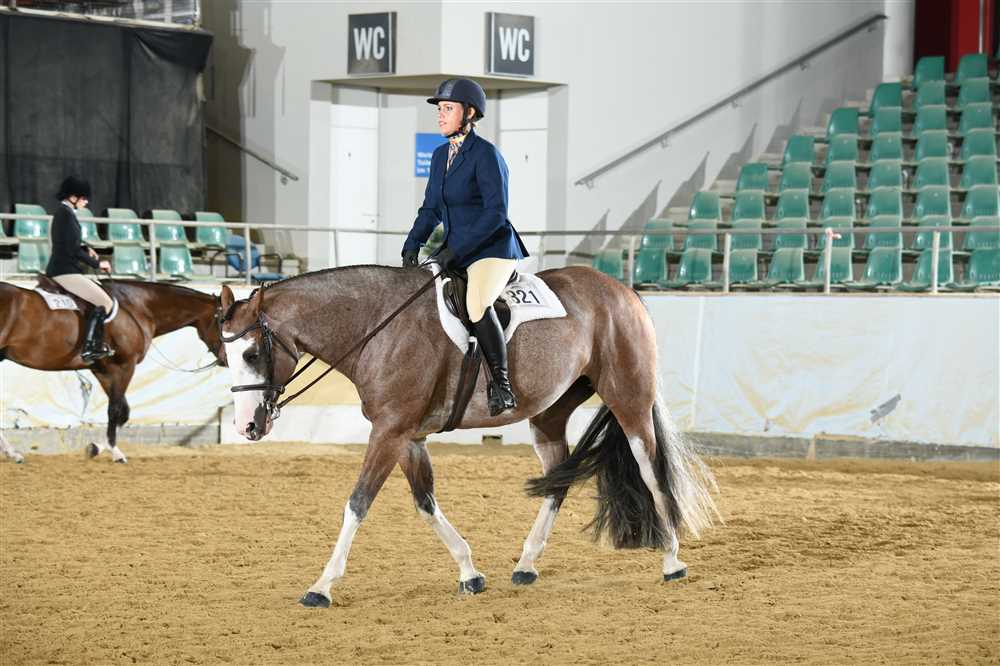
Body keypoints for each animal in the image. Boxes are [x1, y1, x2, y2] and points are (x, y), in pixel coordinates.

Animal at [0, 279, 225, 463]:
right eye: (225, 321)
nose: (225, 359)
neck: (138, 308)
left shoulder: (103, 369)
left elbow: (123, 412)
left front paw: (95, 448)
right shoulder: (125, 365)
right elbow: (115, 410)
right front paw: (116, 453)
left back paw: (12, 453)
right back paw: (12, 453)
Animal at [217, 264, 718, 608]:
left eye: (252, 352)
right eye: (226, 356)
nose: (247, 427)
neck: (378, 326)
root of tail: (622, 290)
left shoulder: (390, 430)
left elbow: (357, 503)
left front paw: (321, 586)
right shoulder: (408, 436)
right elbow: (425, 503)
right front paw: (469, 573)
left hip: (629, 399)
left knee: (651, 470)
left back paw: (673, 561)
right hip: (549, 413)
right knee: (557, 481)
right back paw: (526, 564)